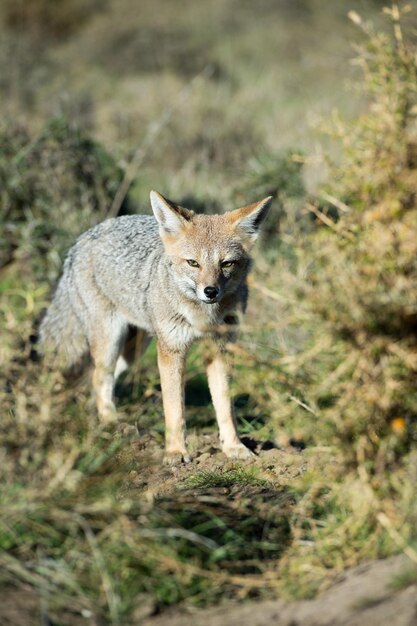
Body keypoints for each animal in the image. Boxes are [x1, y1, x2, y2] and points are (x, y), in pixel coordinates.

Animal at [39, 191, 272, 464]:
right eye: (193, 263)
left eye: (226, 264)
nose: (210, 291)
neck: (202, 316)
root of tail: (84, 236)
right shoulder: (171, 351)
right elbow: (174, 409)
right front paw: (176, 452)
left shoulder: (220, 350)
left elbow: (225, 405)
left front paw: (234, 447)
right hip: (111, 341)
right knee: (99, 377)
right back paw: (110, 424)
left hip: (133, 351)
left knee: (99, 379)